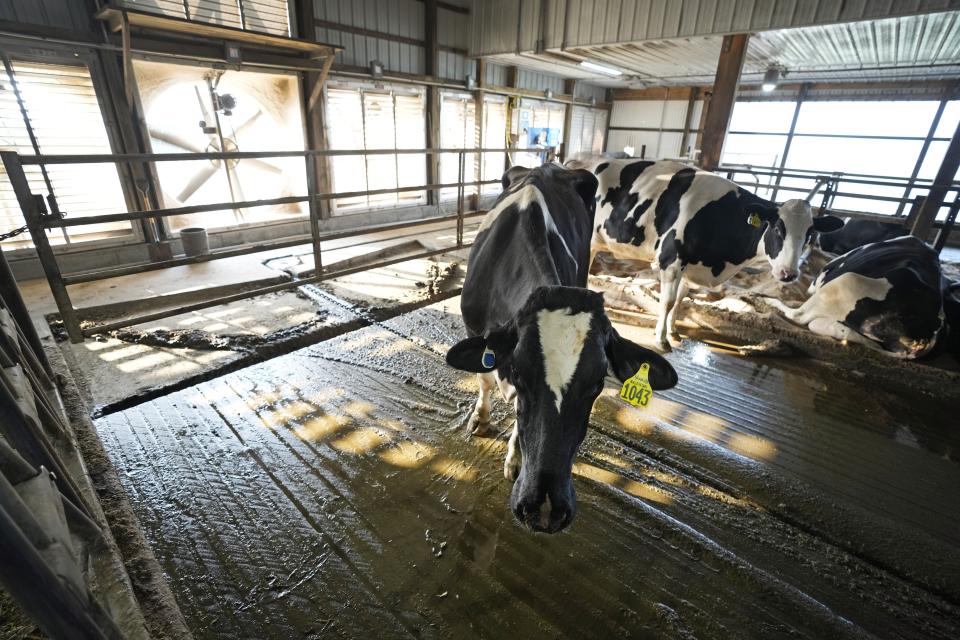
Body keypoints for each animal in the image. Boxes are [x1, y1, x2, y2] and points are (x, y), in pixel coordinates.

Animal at [446, 162, 680, 532]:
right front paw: (480, 419)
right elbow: (485, 378)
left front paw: (515, 459)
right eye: (520, 374)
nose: (544, 508)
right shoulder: (474, 325)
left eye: (598, 383)